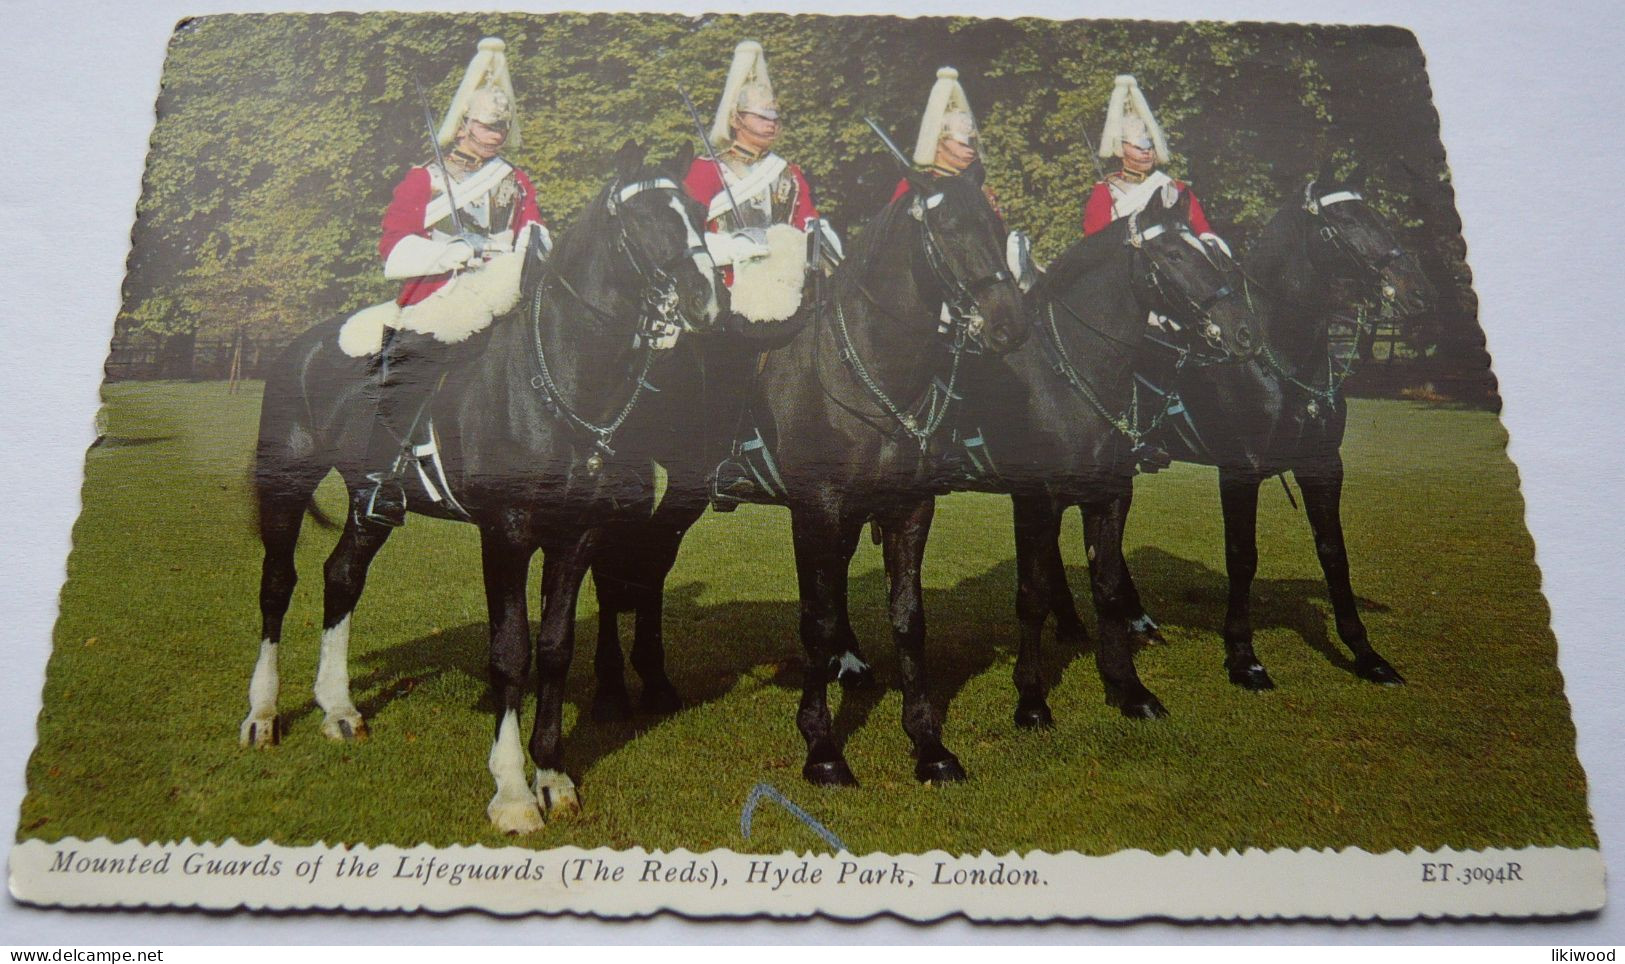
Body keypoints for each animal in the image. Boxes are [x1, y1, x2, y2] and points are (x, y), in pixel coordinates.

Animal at [242, 140, 724, 832]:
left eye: (696, 212)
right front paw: (514, 792)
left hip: (371, 503)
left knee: (342, 576)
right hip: (285, 487)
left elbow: (555, 648)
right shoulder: (506, 535)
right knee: (278, 587)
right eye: (646, 219)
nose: (706, 296)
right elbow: (510, 652)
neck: (560, 381)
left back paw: (339, 710)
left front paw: (553, 775)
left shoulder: (577, 537)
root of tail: (299, 347)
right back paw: (262, 715)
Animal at [585, 165, 1020, 786]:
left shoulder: (909, 507)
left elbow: (906, 618)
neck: (865, 364)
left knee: (650, 565)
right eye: (949, 228)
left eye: (997, 226)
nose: (1011, 323)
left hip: (683, 491)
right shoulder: (817, 507)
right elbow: (817, 619)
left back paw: (658, 683)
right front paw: (823, 748)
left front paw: (929, 744)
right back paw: (610, 691)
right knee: (609, 566)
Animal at [968, 187, 1261, 725]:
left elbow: (1104, 587)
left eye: (1207, 251)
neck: (1068, 380)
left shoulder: (1108, 496)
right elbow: (1030, 595)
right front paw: (1031, 697)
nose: (1245, 332)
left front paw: (1128, 687)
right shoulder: (1035, 501)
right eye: (1172, 254)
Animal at [1046, 167, 1430, 692]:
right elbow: (1242, 556)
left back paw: (1135, 619)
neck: (1283, 351)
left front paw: (1366, 654)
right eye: (1347, 220)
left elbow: (1334, 553)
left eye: (1378, 214)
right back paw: (1074, 623)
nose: (1418, 292)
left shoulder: (1322, 466)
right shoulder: (1240, 472)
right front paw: (1244, 657)